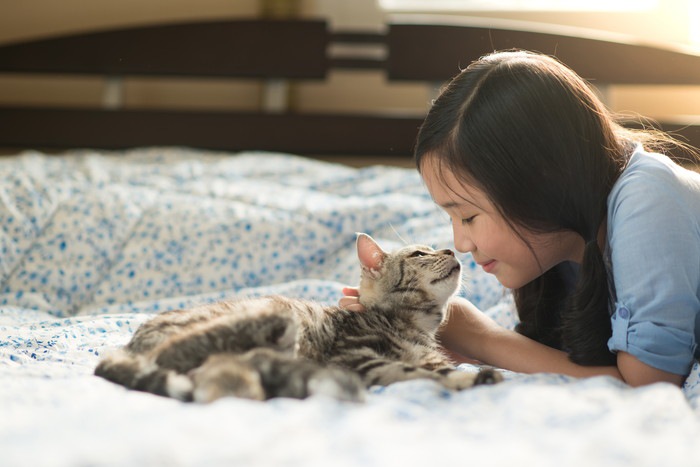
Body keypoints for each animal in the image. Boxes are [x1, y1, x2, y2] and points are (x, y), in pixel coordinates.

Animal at [95, 234, 504, 402]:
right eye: (420, 253)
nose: (451, 249)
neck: (416, 325)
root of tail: (128, 345)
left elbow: (433, 366)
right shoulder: (355, 358)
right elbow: (411, 370)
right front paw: (467, 379)